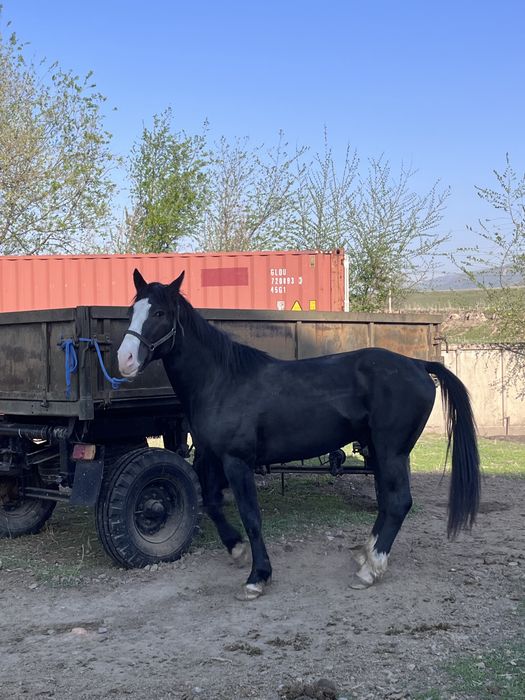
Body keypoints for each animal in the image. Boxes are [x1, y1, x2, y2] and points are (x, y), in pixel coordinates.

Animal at [117, 269, 480, 600]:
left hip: (392, 451)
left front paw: (258, 577)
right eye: (132, 310)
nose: (125, 359)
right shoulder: (210, 455)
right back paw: (366, 554)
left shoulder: (237, 461)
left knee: (398, 502)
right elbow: (212, 502)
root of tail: (418, 365)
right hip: (380, 450)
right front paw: (237, 549)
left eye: (160, 313)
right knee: (388, 503)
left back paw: (370, 569)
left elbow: (251, 516)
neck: (222, 380)